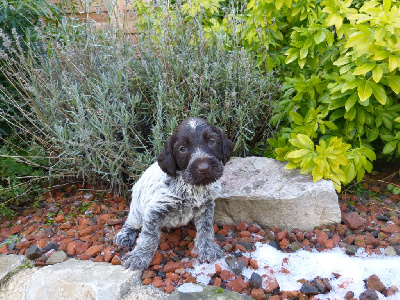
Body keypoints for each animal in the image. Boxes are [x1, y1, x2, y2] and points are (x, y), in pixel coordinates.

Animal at [113, 116, 234, 270]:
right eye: (182, 149)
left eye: (212, 141)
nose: (204, 168)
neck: (191, 187)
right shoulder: (154, 210)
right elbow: (148, 238)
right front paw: (139, 256)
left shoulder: (206, 206)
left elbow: (206, 229)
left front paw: (208, 248)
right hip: (137, 210)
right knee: (131, 222)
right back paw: (125, 234)